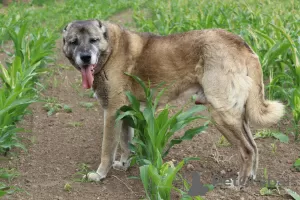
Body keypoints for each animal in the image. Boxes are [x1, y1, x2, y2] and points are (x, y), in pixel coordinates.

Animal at [62, 19, 284, 185]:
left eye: (93, 40)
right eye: (73, 42)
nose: (85, 57)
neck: (110, 49)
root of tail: (241, 44)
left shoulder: (112, 112)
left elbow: (107, 149)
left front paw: (100, 174)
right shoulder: (126, 111)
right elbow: (126, 142)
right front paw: (124, 164)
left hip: (222, 114)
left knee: (246, 150)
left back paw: (239, 183)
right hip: (237, 116)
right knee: (254, 147)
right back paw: (251, 176)